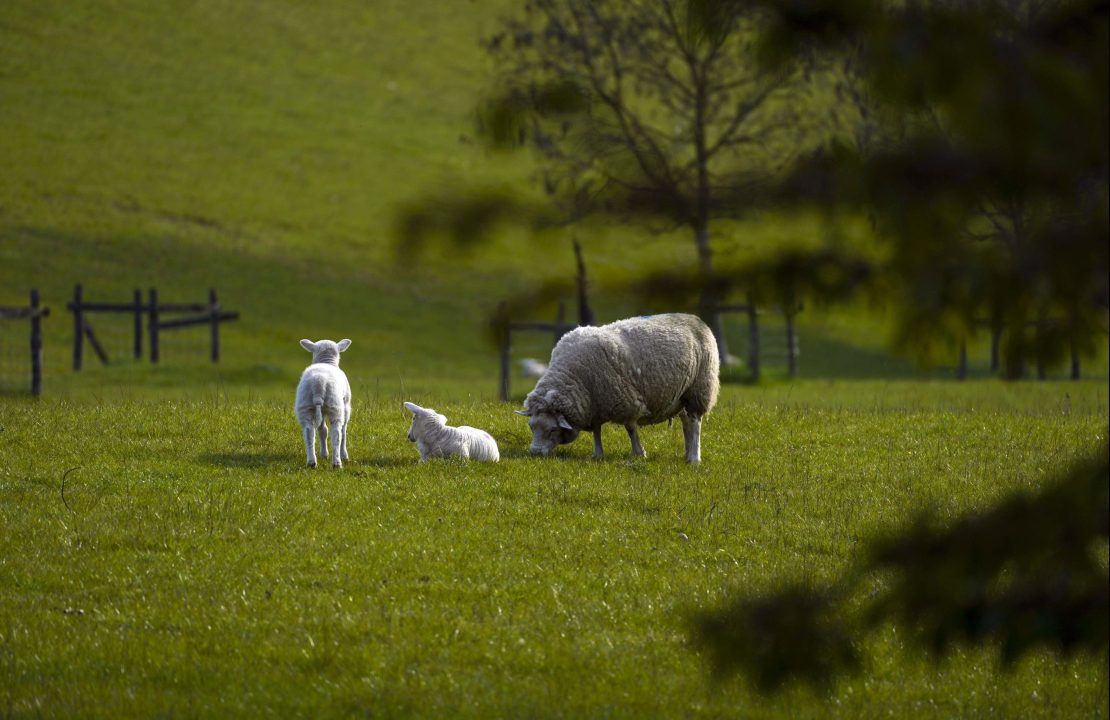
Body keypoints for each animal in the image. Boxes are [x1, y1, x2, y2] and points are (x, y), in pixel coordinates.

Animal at [295, 339, 350, 468]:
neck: (327, 361)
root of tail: (318, 383)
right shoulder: (346, 406)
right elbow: (343, 432)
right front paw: (344, 455)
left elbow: (322, 431)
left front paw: (324, 454)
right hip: (336, 406)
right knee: (336, 434)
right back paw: (337, 462)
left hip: (305, 406)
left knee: (309, 433)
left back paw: (311, 462)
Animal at [517, 312, 719, 461]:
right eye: (531, 427)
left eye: (552, 429)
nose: (535, 453)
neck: (574, 376)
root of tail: (694, 318)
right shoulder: (594, 403)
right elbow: (596, 430)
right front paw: (598, 454)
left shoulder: (626, 401)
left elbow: (630, 429)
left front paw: (639, 453)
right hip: (682, 396)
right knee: (686, 423)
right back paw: (687, 453)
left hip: (700, 388)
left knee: (695, 422)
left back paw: (694, 458)